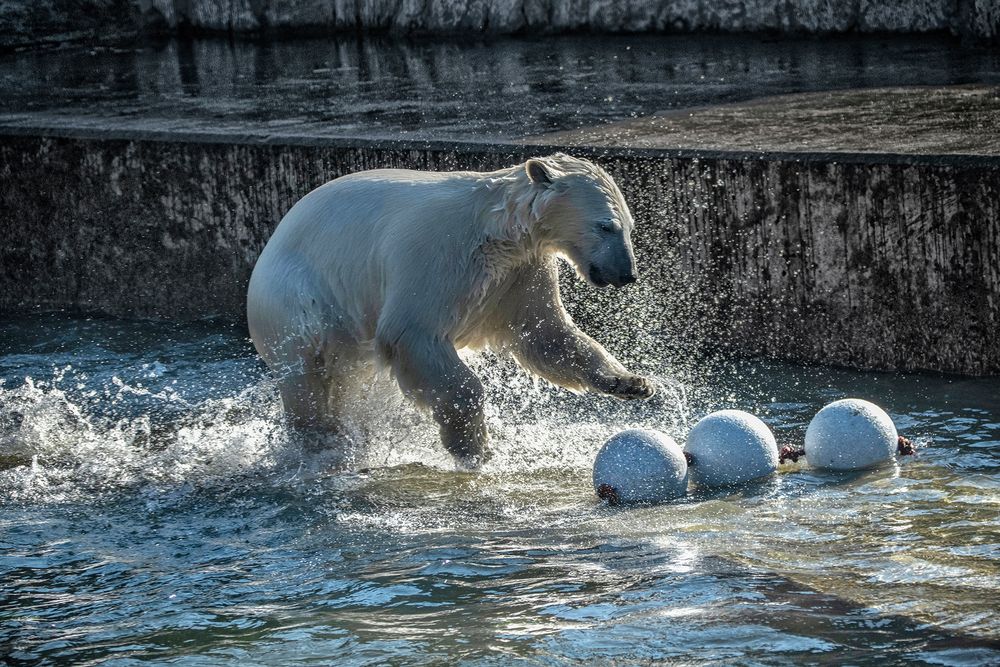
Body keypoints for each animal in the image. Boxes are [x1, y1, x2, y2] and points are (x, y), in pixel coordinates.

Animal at [248, 155, 656, 470]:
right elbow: (414, 333)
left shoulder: (519, 271)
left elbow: (544, 333)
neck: (496, 231)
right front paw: (473, 447)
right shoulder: (438, 256)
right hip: (295, 299)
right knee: (306, 374)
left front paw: (631, 382)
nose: (627, 273)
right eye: (605, 226)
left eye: (629, 227)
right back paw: (323, 441)